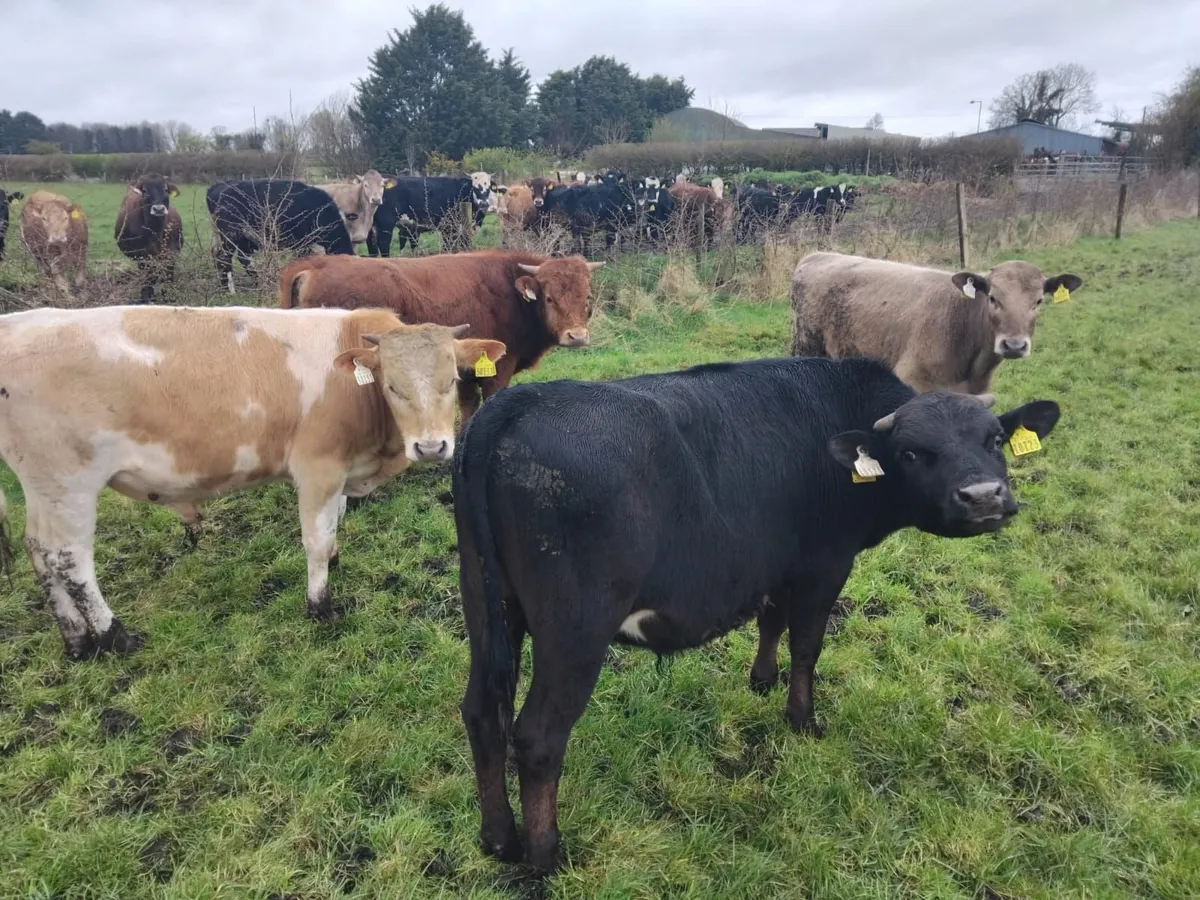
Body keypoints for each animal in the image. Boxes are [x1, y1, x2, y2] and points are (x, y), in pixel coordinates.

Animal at [0, 304, 506, 658]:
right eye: (393, 386)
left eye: (450, 380)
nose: (431, 447)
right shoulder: (317, 467)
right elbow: (315, 539)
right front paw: (320, 605)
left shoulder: (339, 470)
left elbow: (335, 523)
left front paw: (336, 560)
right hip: (69, 482)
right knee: (70, 559)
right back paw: (113, 635)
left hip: (43, 485)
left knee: (39, 551)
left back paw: (76, 640)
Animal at [207, 179, 354, 293]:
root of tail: (221, 188)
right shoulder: (301, 244)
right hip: (230, 234)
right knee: (224, 258)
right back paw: (230, 290)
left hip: (242, 238)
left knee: (241, 258)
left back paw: (254, 283)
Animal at [278, 250, 602, 424]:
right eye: (549, 298)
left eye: (587, 297)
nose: (576, 336)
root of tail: (315, 264)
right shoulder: (499, 367)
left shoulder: (468, 368)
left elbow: (469, 405)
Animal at [453, 354, 1061, 871]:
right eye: (912, 453)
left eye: (995, 438)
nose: (983, 496)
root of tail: (516, 403)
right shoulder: (825, 563)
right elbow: (807, 644)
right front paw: (802, 718)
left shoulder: (774, 563)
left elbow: (772, 622)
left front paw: (762, 680)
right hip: (574, 628)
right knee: (538, 736)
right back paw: (545, 855)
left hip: (487, 603)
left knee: (483, 713)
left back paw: (498, 838)